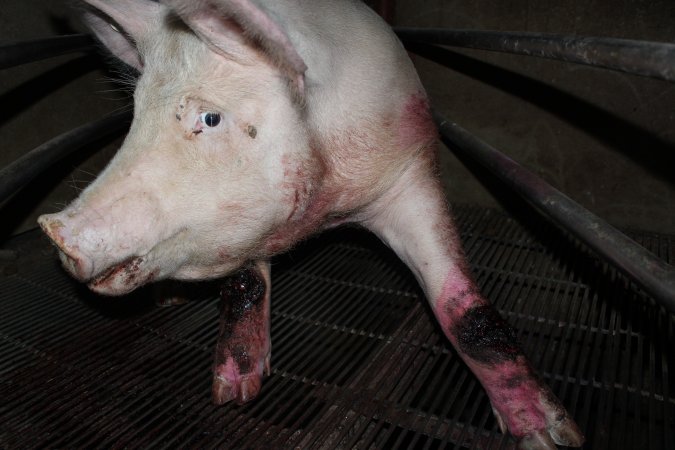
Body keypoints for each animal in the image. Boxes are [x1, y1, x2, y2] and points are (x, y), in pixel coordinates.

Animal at [38, 0, 588, 446]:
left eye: (210, 118)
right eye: (136, 115)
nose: (56, 229)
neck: (327, 207)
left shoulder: (409, 170)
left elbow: (466, 313)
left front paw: (549, 437)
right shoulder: (244, 219)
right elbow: (243, 284)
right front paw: (231, 394)